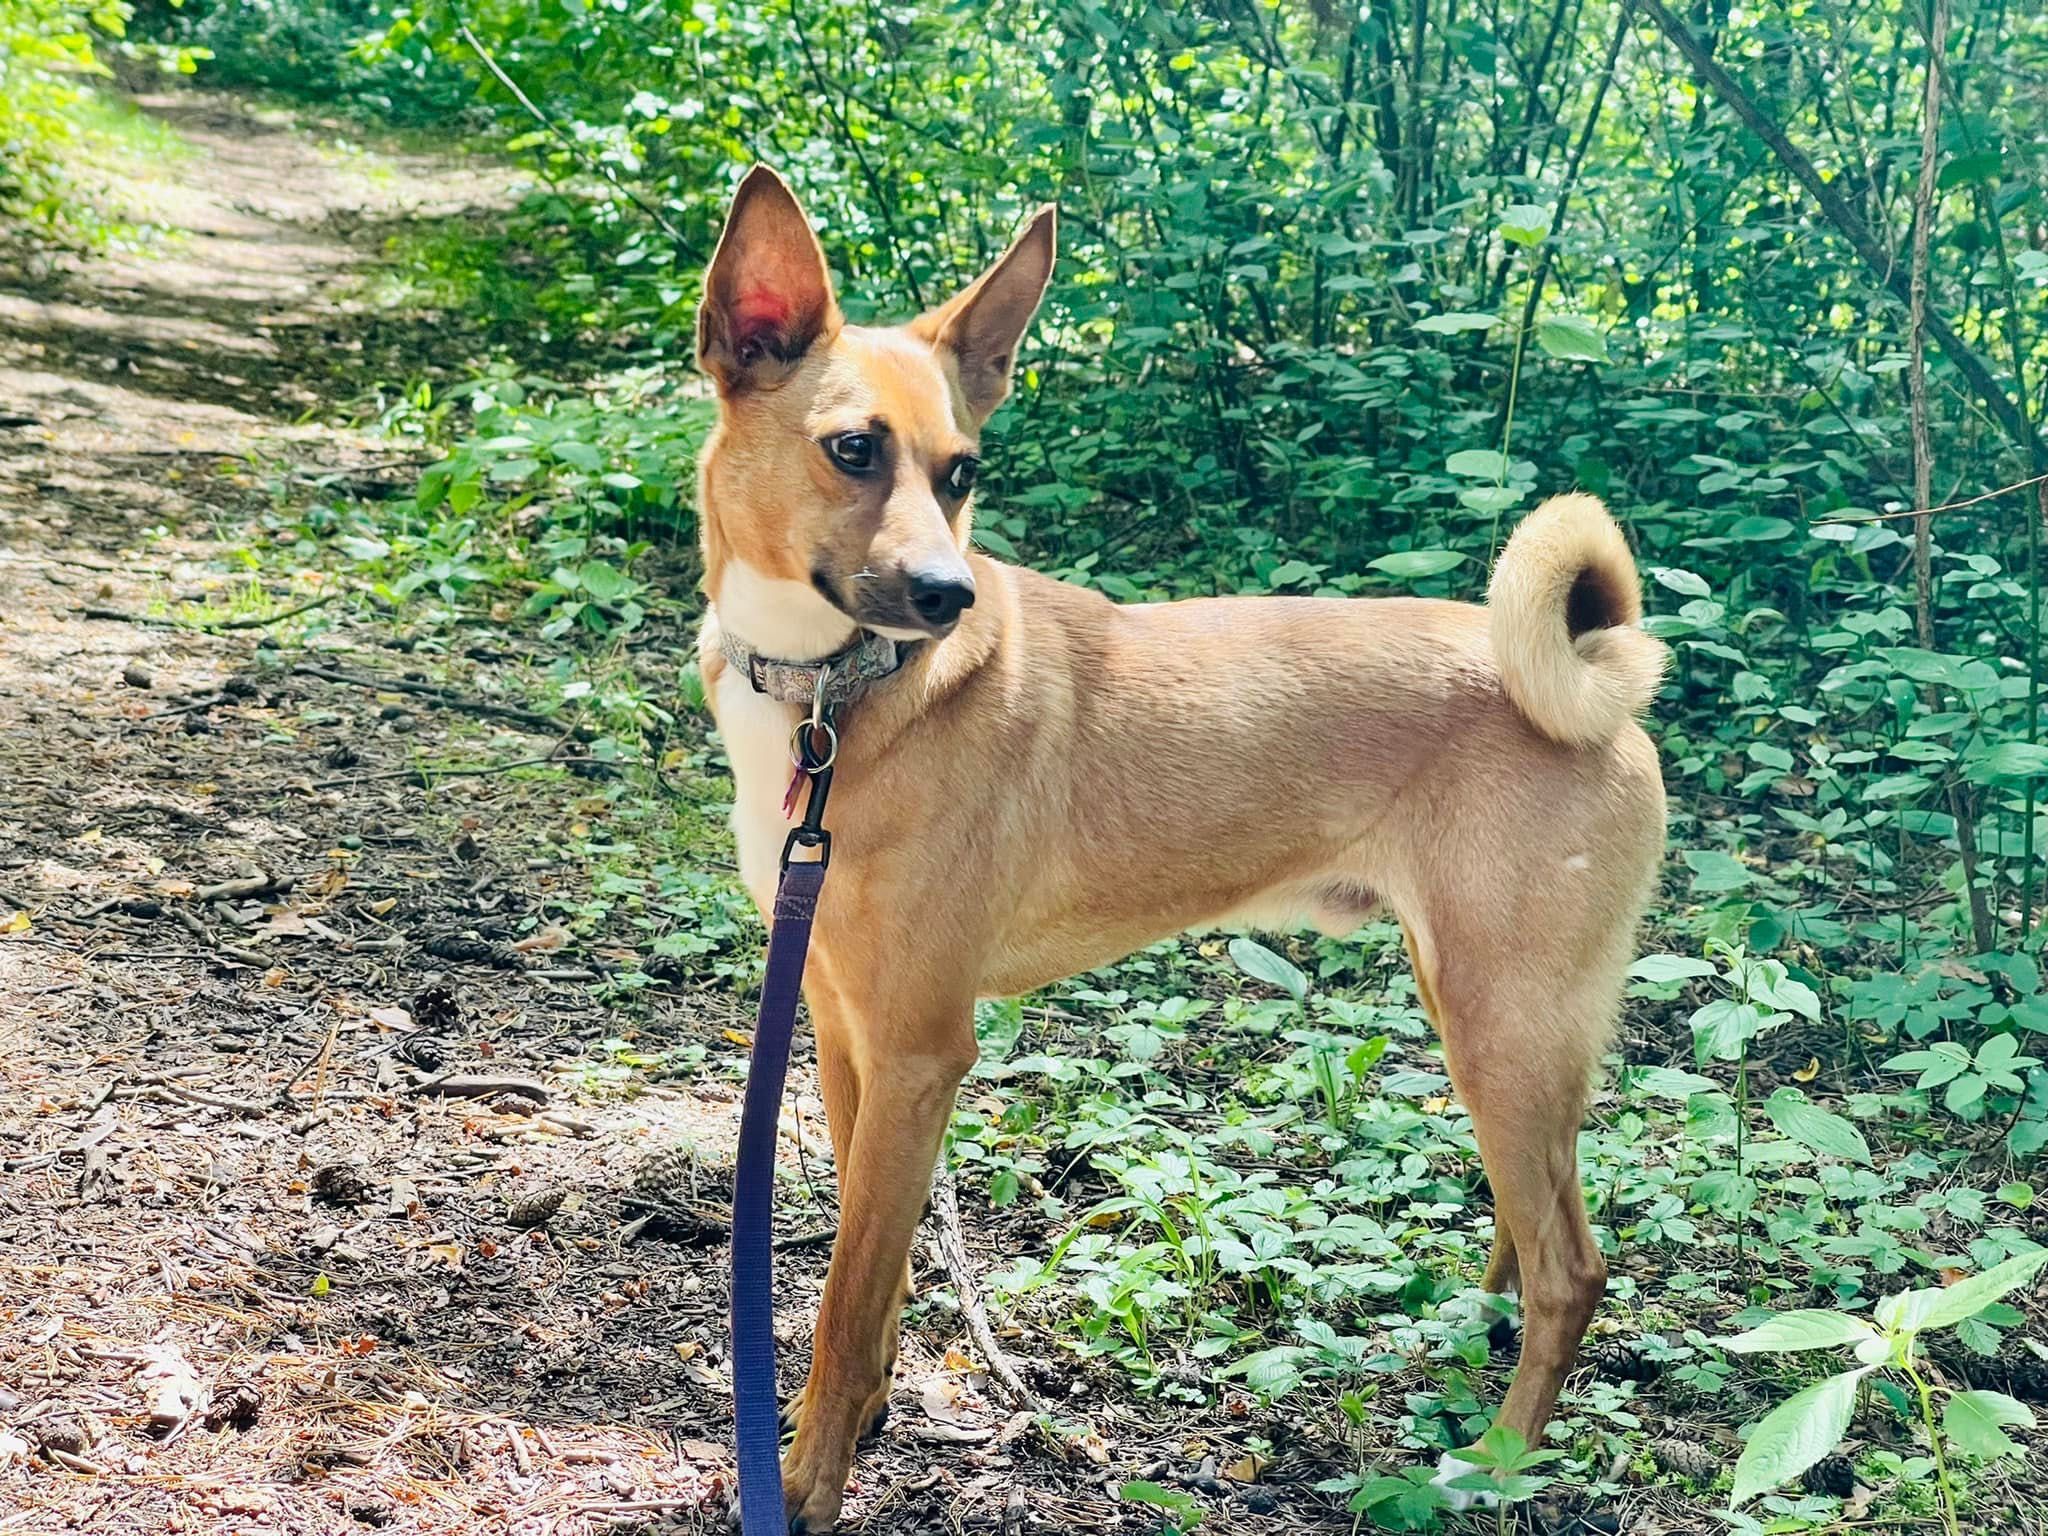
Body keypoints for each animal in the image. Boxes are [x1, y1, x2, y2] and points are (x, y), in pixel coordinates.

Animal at [696, 162, 1671, 1531]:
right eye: (851, 451)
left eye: (962, 471)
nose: (948, 595)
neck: (832, 698)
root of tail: (1596, 678)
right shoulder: (844, 1032)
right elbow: (868, 1273)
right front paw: (874, 1413)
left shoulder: (918, 1053)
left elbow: (842, 1300)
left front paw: (806, 1483)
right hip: (1492, 1021)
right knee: (1534, 1225)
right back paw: (1467, 1343)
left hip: (1502, 1025)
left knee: (1573, 1268)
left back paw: (1492, 1460)